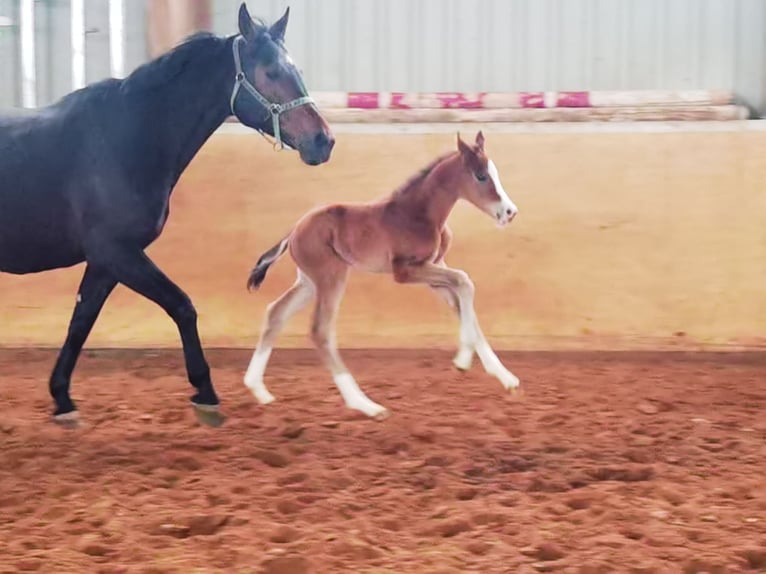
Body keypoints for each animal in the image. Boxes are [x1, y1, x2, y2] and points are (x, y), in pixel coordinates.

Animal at [0, 2, 334, 428]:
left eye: (296, 70)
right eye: (271, 71)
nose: (323, 141)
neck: (126, 139)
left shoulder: (104, 263)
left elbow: (81, 322)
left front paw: (62, 400)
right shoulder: (118, 253)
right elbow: (182, 306)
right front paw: (205, 394)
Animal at [243, 131, 520, 420]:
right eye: (481, 176)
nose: (510, 212)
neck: (419, 213)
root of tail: (295, 230)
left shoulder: (434, 269)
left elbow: (464, 303)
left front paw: (505, 377)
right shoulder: (405, 270)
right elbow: (464, 281)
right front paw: (463, 361)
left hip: (308, 282)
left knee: (276, 312)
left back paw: (259, 390)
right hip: (331, 276)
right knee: (320, 329)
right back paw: (365, 405)